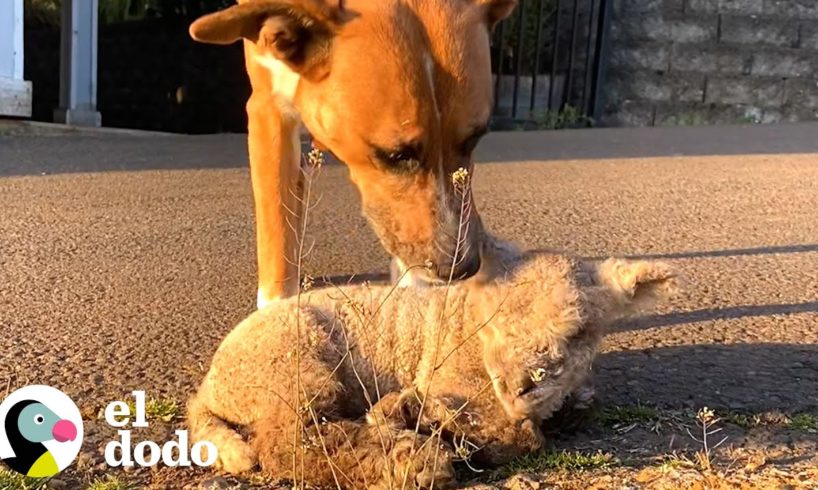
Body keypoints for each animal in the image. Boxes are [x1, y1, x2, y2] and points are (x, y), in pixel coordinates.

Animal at [186, 242, 676, 490]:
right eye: (493, 319)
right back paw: (413, 461)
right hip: (292, 362)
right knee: (290, 441)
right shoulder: (452, 378)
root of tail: (208, 388)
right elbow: (523, 437)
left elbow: (575, 408)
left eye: (577, 332)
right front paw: (423, 418)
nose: (520, 384)